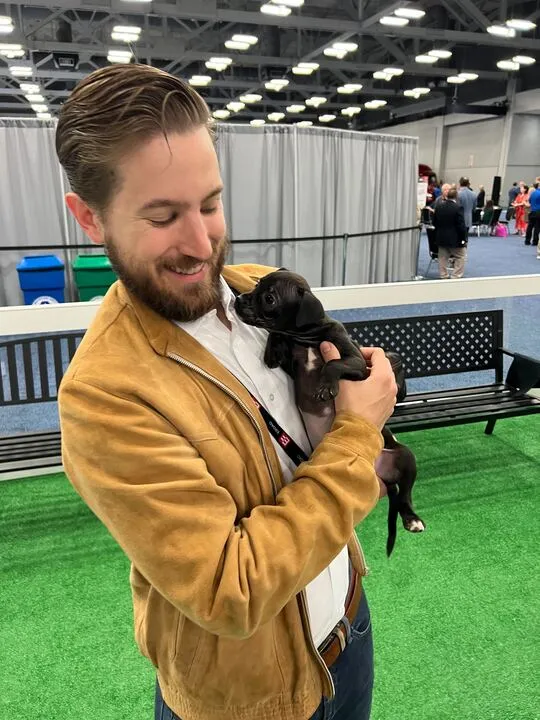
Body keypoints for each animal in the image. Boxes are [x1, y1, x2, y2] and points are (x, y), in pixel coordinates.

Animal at [236, 270, 426, 556]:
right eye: (257, 285)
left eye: (269, 298)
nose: (238, 300)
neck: (307, 338)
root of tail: (377, 472)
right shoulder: (291, 366)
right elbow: (276, 336)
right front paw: (272, 350)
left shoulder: (357, 363)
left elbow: (333, 363)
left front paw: (326, 386)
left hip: (405, 457)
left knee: (405, 494)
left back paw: (412, 519)